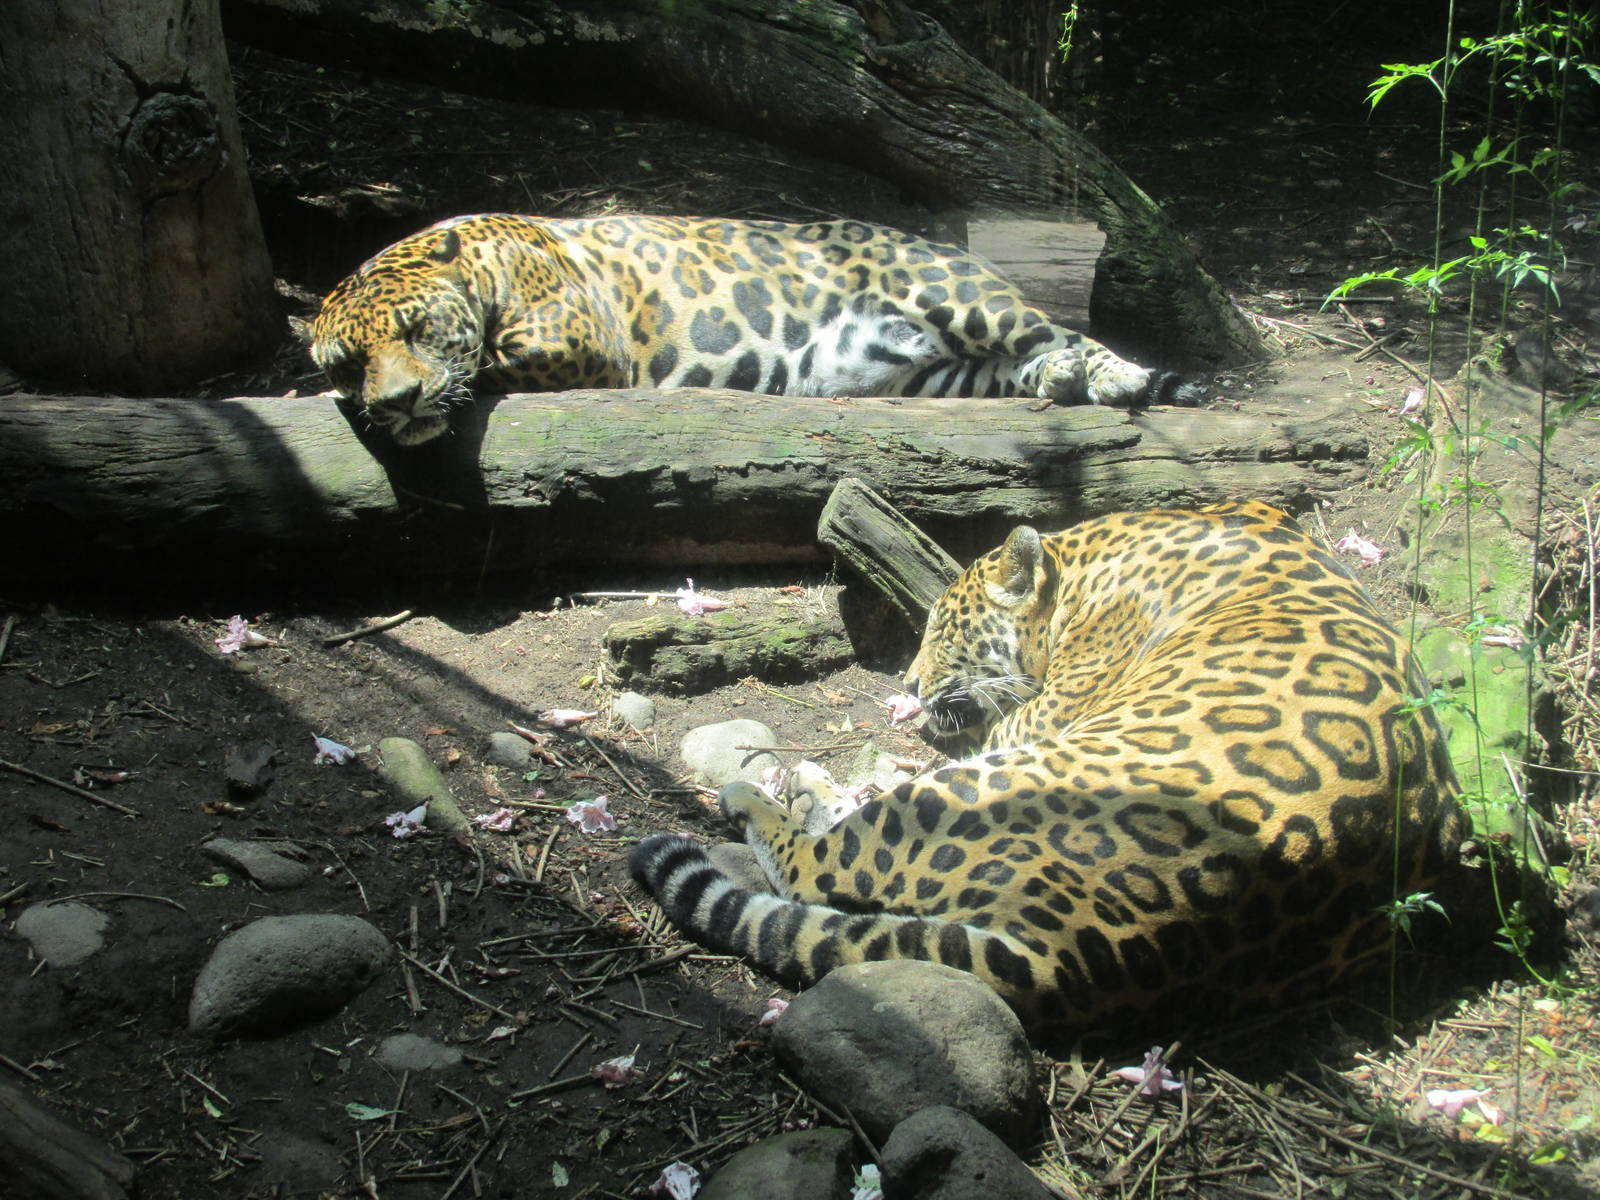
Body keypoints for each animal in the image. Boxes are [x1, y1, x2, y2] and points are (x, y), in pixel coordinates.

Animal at [308, 213, 1204, 446]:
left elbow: (496, 359)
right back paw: (1059, 382)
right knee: (1018, 363)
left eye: (420, 329)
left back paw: (1117, 374)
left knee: (1053, 331)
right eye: (348, 362)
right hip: (939, 370)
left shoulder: (579, 337)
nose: (395, 403)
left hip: (956, 294)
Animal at [630, 500, 1468, 1034]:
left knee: (815, 863)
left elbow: (990, 719)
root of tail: (1094, 951)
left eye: (947, 628)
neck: (1084, 567)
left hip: (975, 788)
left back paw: (764, 792)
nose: (909, 685)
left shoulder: (1040, 715)